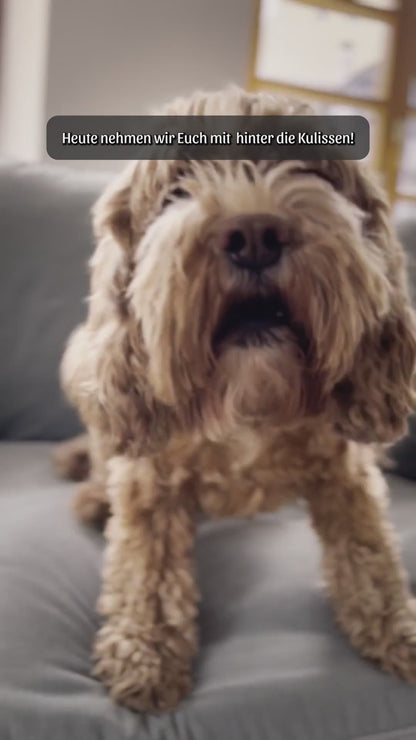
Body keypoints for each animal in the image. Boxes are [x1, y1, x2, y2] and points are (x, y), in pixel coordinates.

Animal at [52, 88, 416, 716]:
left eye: (310, 168)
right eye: (177, 187)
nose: (254, 233)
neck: (250, 403)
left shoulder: (344, 472)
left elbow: (370, 553)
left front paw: (397, 628)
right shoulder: (150, 480)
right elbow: (146, 570)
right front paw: (145, 650)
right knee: (102, 458)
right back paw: (96, 498)